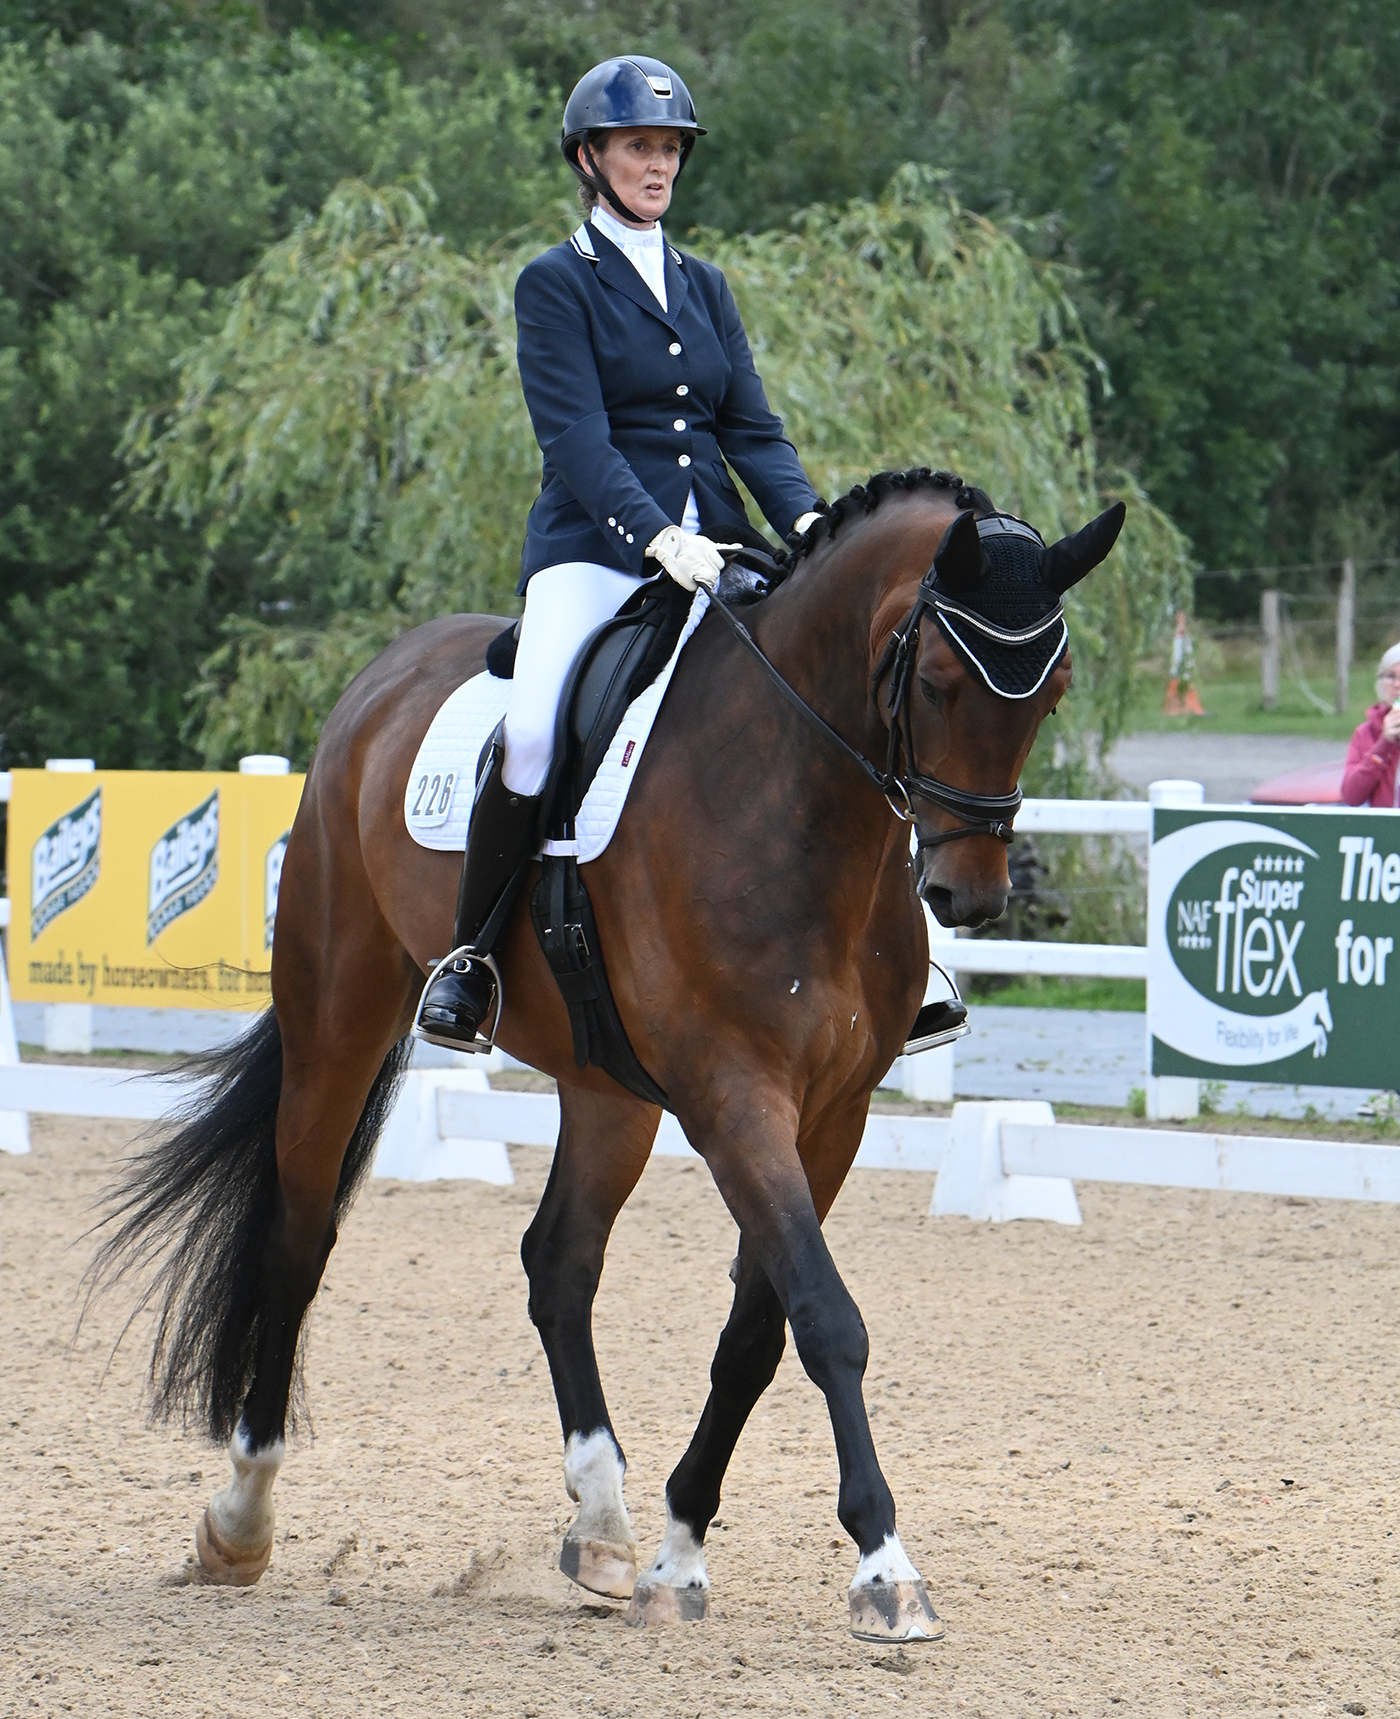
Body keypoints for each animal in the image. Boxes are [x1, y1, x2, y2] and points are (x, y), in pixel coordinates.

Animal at [93, 467, 1121, 1636]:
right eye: (943, 682)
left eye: (1049, 693)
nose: (969, 896)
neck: (793, 799)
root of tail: (383, 679)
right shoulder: (734, 1098)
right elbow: (825, 1317)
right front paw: (883, 1567)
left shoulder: (833, 1113)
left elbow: (756, 1332)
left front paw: (679, 1556)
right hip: (338, 1015)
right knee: (300, 1239)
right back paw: (241, 1517)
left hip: (605, 1089)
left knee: (559, 1261)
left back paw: (602, 1524)